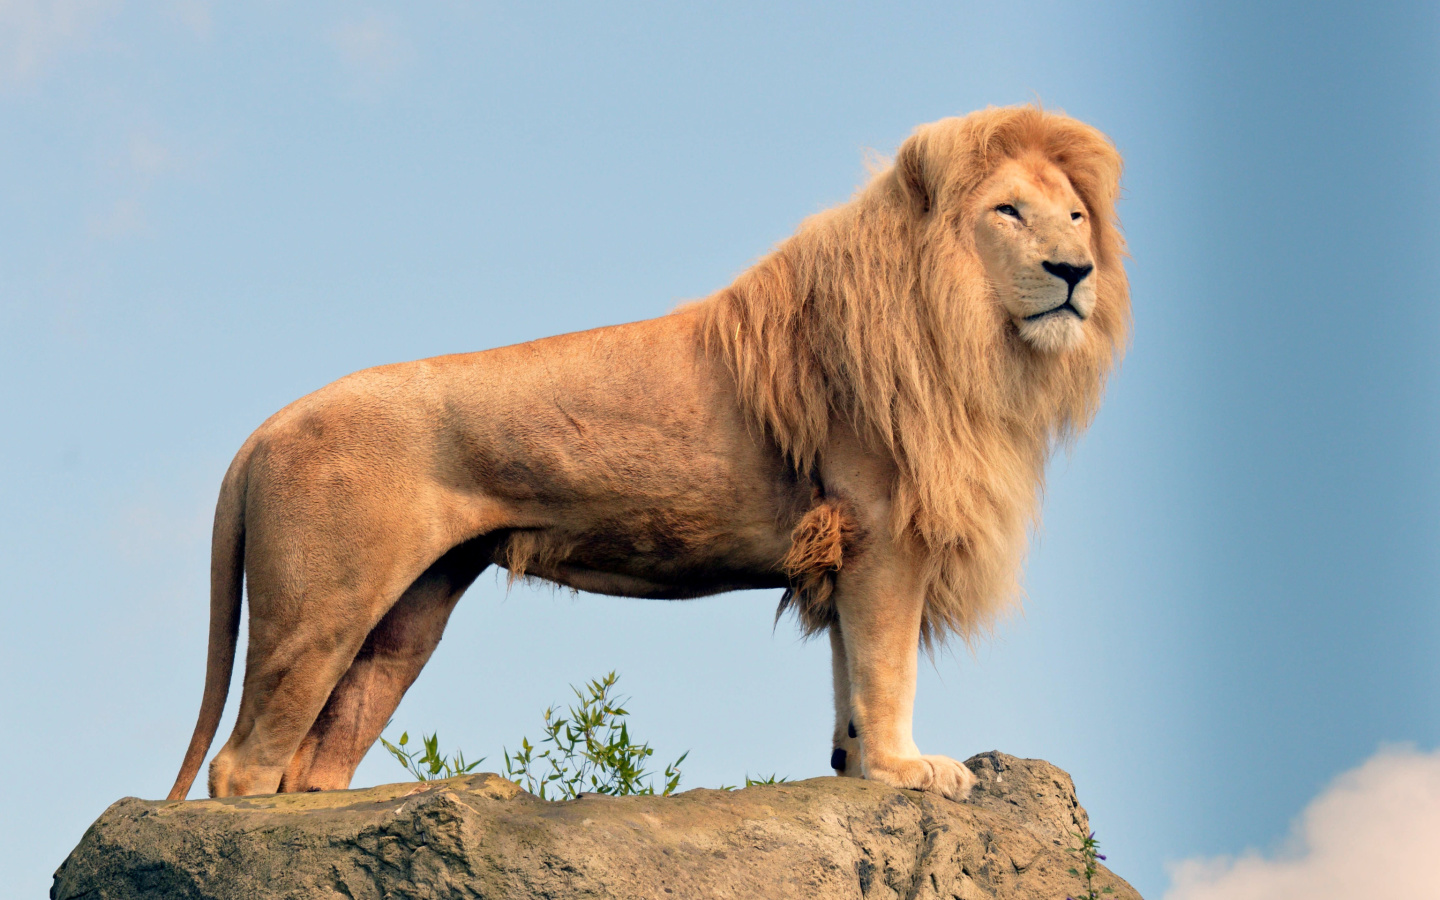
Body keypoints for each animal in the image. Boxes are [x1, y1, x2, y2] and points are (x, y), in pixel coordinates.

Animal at [168, 105, 1128, 800]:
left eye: (1077, 216)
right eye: (1009, 212)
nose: (1074, 270)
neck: (974, 339)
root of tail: (266, 427)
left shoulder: (846, 547)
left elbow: (850, 673)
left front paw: (856, 766)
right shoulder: (884, 530)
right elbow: (885, 667)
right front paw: (908, 770)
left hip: (408, 613)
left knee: (316, 760)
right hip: (321, 606)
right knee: (244, 765)